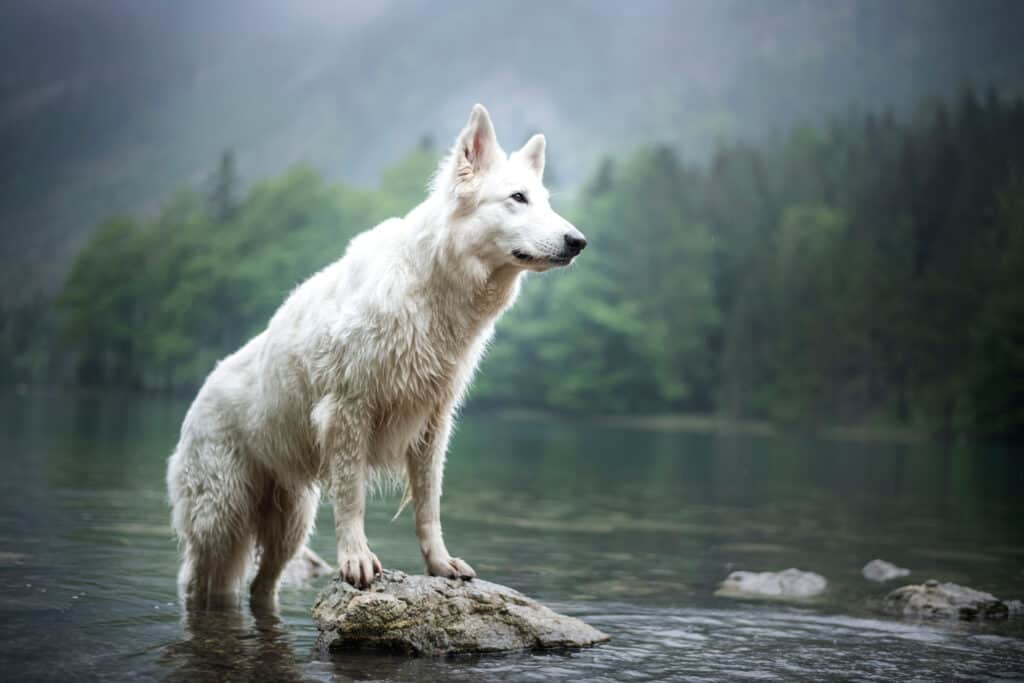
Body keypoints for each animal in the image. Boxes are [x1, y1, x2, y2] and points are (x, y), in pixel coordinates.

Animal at [165, 104, 585, 606]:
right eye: (517, 198)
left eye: (544, 201)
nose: (579, 242)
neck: (430, 289)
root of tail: (198, 396)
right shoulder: (348, 412)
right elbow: (353, 500)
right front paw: (356, 560)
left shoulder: (432, 423)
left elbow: (428, 504)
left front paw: (440, 564)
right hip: (220, 522)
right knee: (197, 580)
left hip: (290, 525)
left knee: (262, 586)